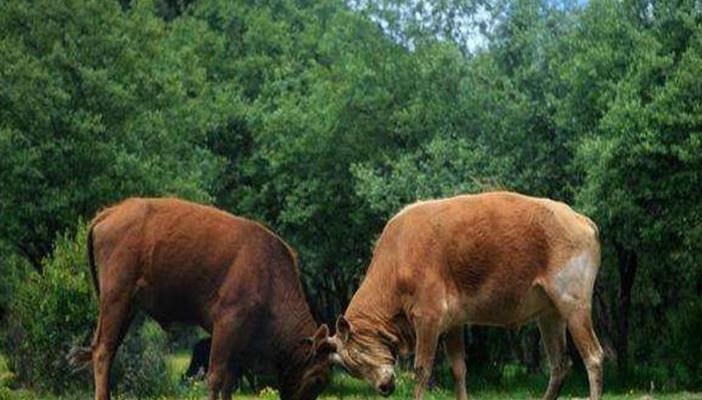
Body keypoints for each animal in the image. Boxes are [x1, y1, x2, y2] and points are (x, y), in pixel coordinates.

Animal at [67, 198, 332, 400]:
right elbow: (215, 376)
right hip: (115, 300)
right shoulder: (227, 325)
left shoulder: (239, 341)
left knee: (105, 348)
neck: (270, 274)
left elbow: (229, 381)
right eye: (317, 378)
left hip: (127, 307)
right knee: (103, 351)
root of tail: (110, 213)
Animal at [330, 192, 604, 398]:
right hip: (549, 314)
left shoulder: (428, 317)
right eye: (353, 369)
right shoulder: (453, 322)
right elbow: (459, 369)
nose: (384, 387)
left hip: (573, 303)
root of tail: (580, 219)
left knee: (593, 357)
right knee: (560, 364)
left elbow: (422, 370)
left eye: (358, 356)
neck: (397, 259)